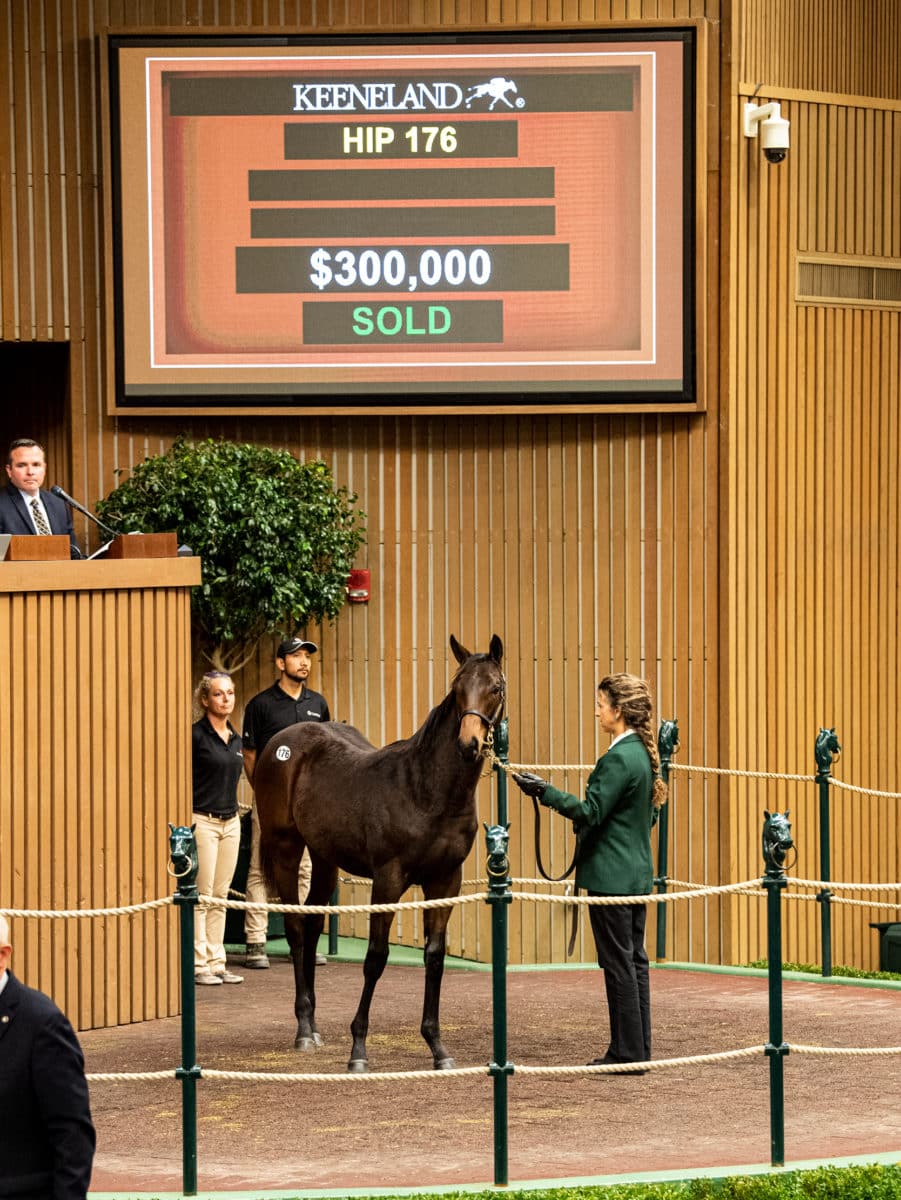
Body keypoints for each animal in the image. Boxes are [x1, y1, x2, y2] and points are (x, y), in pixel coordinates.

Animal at [255, 633, 508, 1075]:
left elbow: (435, 957)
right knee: (297, 928)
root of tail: (283, 742)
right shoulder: (388, 880)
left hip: (324, 858)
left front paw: (437, 1047)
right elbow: (376, 957)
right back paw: (303, 1029)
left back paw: (314, 1025)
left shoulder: (446, 881)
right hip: (286, 849)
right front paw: (359, 1049)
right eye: (457, 688)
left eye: (495, 688)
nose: (468, 744)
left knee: (314, 923)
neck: (426, 791)